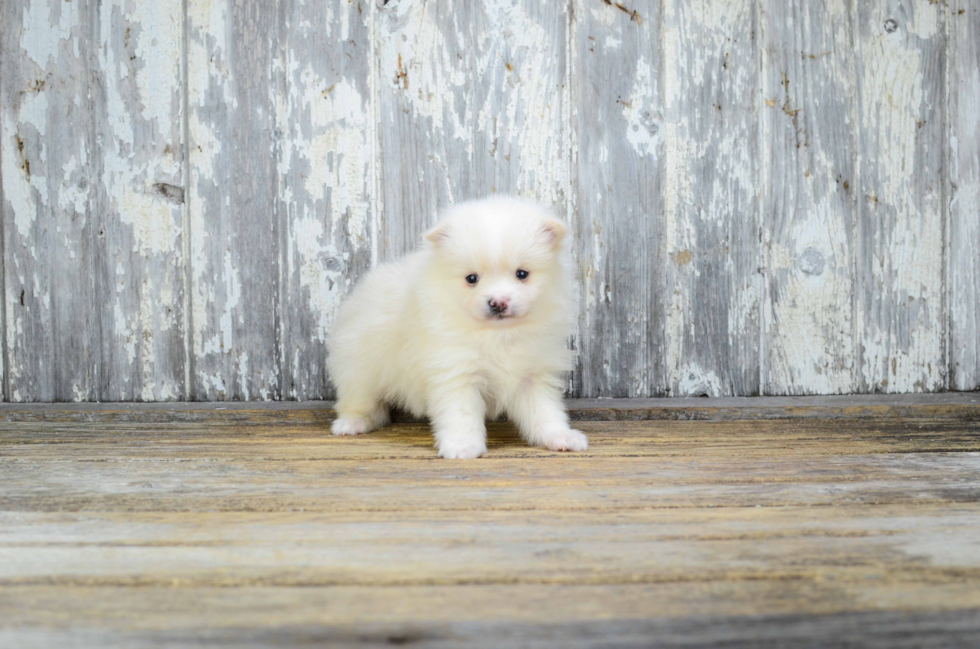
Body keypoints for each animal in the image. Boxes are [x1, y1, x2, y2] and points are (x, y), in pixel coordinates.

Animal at [330, 195, 588, 458]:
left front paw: (560, 436)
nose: (498, 302)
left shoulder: (533, 375)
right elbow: (462, 414)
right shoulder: (456, 372)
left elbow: (545, 412)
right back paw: (352, 423)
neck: (498, 335)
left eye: (522, 274)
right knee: (358, 401)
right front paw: (463, 446)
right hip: (360, 368)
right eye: (471, 279)